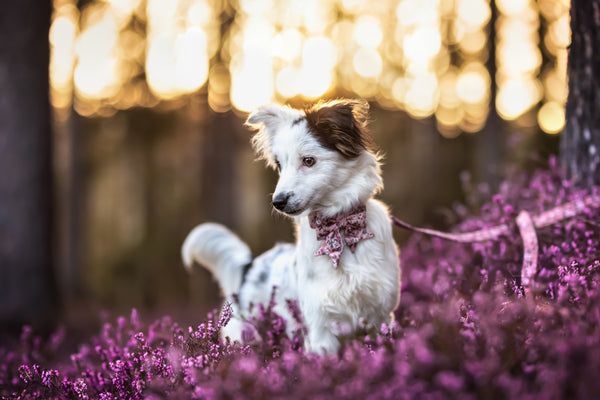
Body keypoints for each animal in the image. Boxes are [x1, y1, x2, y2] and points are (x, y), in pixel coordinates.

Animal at [180, 99, 400, 354]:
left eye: (308, 160)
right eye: (279, 164)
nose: (278, 202)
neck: (340, 230)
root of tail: (248, 266)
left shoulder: (380, 318)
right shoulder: (319, 327)